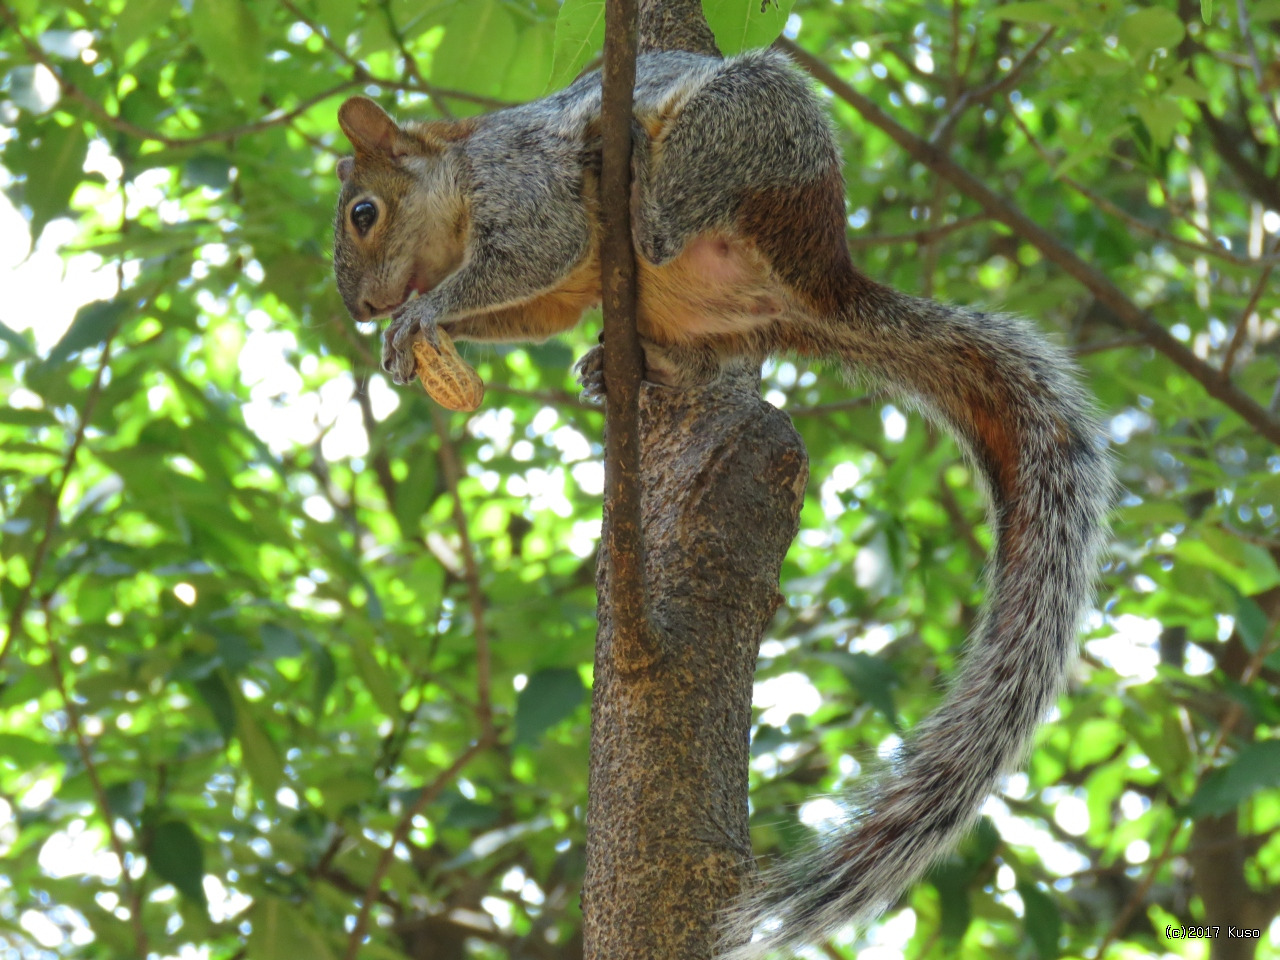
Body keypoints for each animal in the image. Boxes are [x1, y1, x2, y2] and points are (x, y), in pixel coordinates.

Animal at [330, 48, 1111, 960]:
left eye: (364, 213)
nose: (364, 310)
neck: (456, 192)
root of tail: (823, 275)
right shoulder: (551, 284)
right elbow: (540, 300)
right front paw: (417, 342)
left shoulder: (524, 179)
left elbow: (535, 251)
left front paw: (424, 314)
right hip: (706, 309)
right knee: (695, 348)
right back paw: (622, 369)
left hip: (745, 129)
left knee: (666, 223)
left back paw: (634, 172)